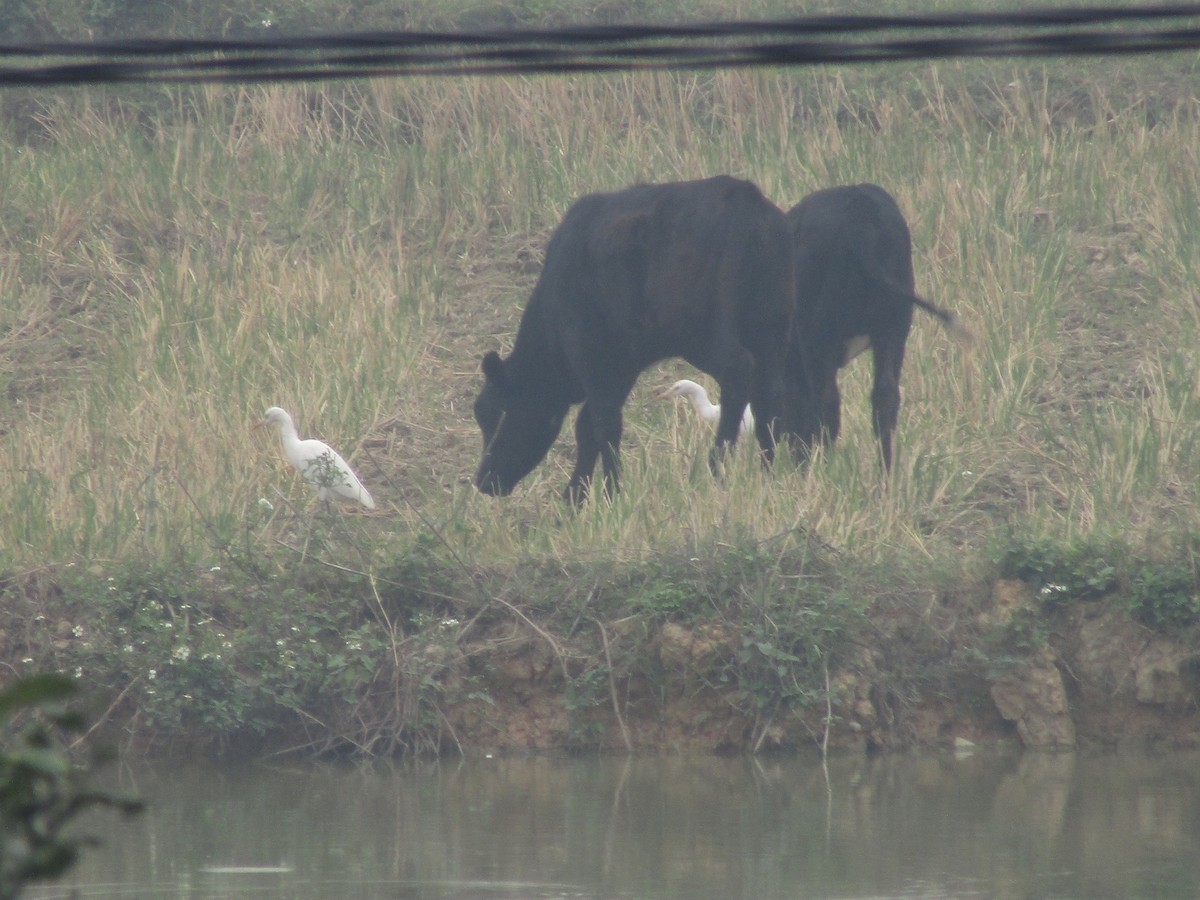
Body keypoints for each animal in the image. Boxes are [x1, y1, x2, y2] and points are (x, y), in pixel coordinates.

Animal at [473, 175, 795, 505]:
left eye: (497, 413)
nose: (483, 481)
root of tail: (743, 195)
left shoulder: (592, 357)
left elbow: (603, 425)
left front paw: (610, 491)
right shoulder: (621, 366)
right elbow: (587, 427)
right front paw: (576, 496)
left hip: (703, 332)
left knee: (739, 372)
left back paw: (716, 469)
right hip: (771, 326)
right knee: (771, 391)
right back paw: (769, 471)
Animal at [781, 183, 969, 474]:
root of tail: (860, 206)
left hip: (819, 334)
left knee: (827, 402)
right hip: (894, 329)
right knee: (885, 398)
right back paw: (884, 478)